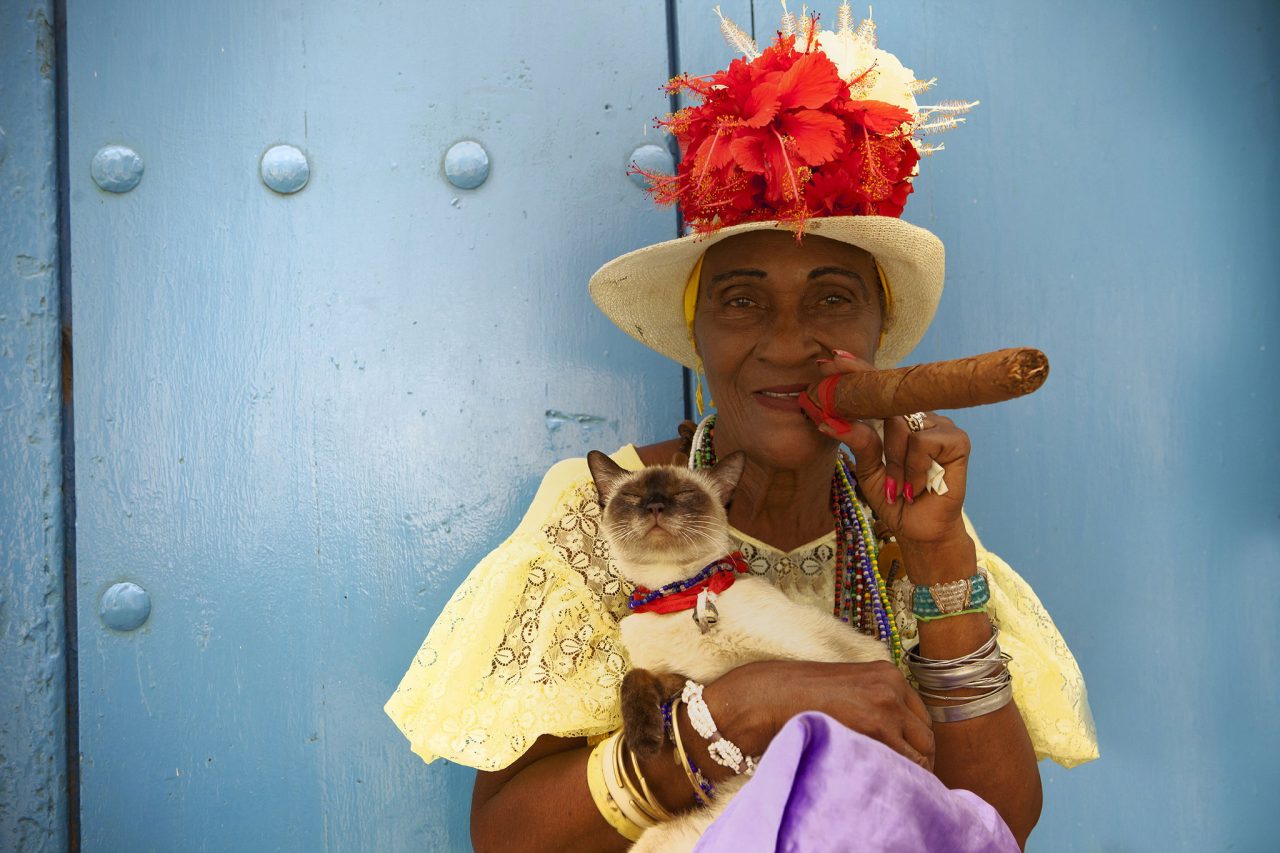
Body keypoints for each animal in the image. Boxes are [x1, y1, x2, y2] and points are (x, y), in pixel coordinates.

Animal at [588, 448, 890, 845]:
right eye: (634, 497)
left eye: (683, 494)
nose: (654, 506)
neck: (680, 597)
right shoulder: (687, 678)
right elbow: (636, 679)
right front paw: (645, 741)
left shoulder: (828, 662)